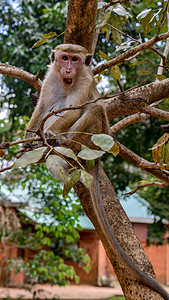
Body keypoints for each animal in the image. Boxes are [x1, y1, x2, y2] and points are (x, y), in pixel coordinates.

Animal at [25, 44, 169, 300]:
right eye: (64, 58)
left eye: (75, 59)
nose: (69, 68)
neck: (67, 82)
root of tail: (98, 157)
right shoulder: (51, 78)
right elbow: (41, 107)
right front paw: (26, 140)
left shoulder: (85, 79)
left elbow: (74, 109)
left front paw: (49, 134)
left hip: (94, 137)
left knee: (95, 109)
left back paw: (61, 142)